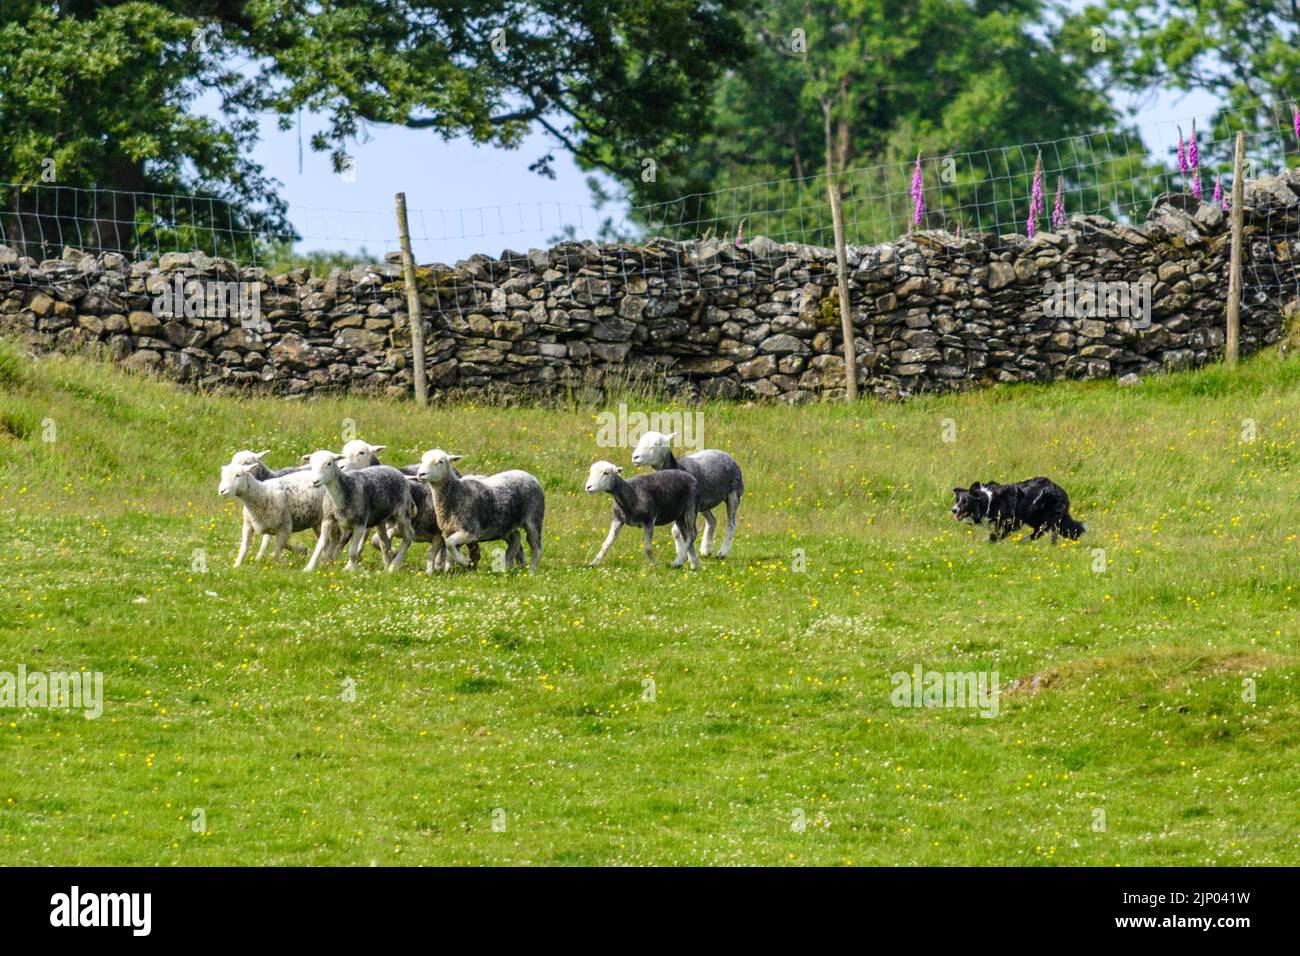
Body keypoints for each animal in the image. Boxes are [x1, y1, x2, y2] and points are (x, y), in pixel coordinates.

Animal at [956, 478, 1086, 546]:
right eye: (957, 500)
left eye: (965, 502)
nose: (953, 510)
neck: (987, 500)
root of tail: (1062, 492)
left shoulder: (1012, 521)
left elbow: (999, 534)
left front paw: (991, 540)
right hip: (1037, 518)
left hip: (1041, 518)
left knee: (1038, 533)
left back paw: (1021, 542)